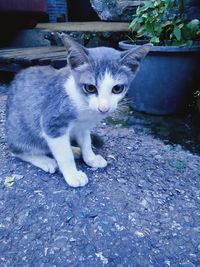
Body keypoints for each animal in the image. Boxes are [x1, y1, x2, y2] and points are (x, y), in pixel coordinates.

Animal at [5, 34, 152, 187]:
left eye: (117, 88)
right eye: (90, 88)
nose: (103, 108)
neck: (83, 103)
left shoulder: (83, 125)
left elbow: (86, 141)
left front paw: (90, 158)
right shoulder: (52, 121)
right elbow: (64, 154)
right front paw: (72, 175)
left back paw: (75, 150)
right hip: (19, 130)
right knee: (18, 150)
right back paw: (45, 160)